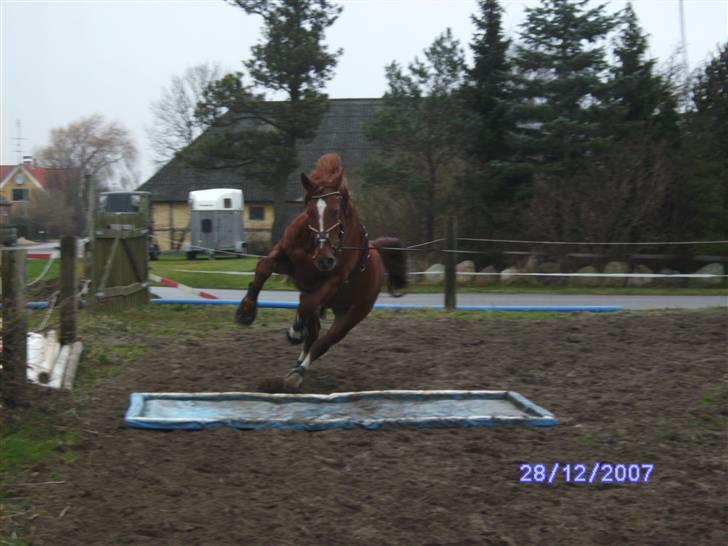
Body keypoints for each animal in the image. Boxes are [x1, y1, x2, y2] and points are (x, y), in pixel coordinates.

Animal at [235, 153, 406, 388]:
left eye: (337, 211)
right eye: (309, 212)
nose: (325, 259)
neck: (313, 247)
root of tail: (378, 254)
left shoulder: (334, 280)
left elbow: (308, 305)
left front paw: (296, 330)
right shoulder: (287, 260)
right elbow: (263, 268)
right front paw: (246, 311)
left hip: (352, 313)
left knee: (323, 340)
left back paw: (299, 370)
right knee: (313, 329)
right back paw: (297, 359)